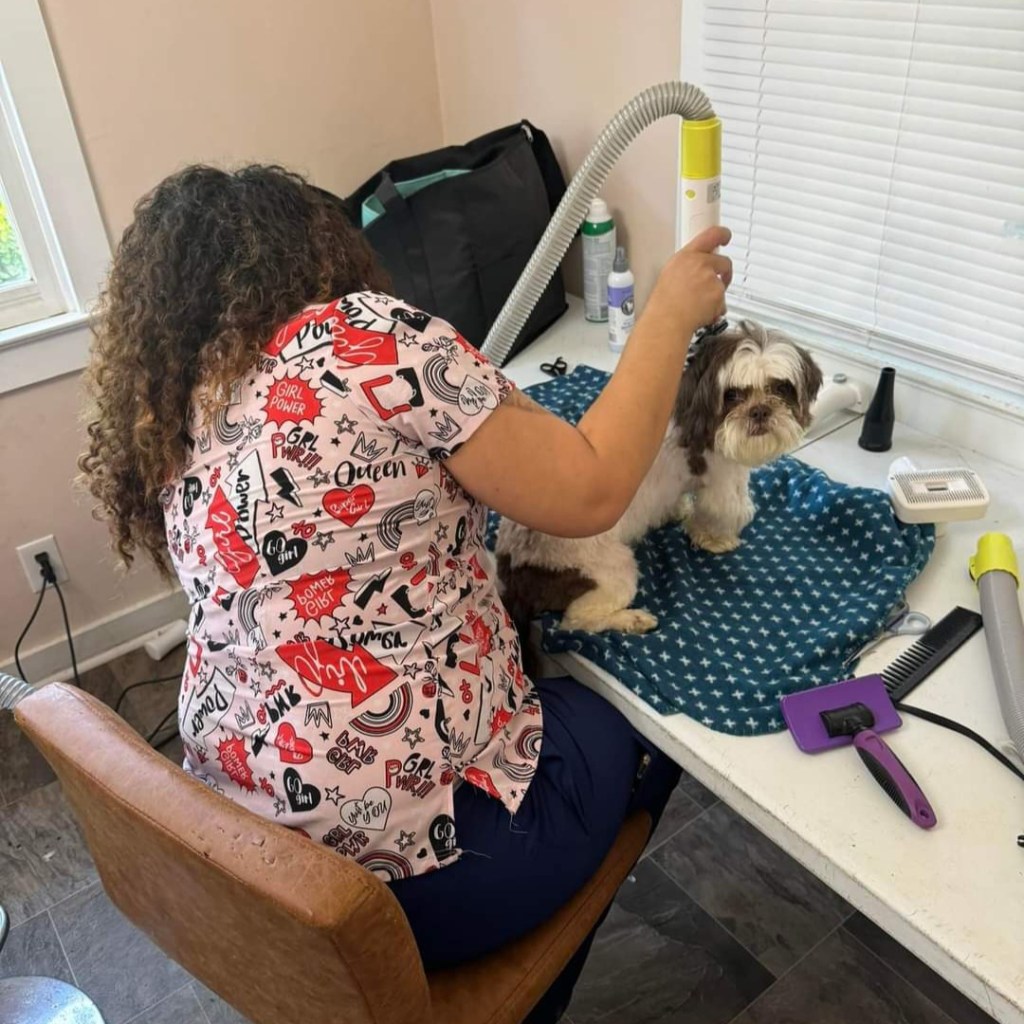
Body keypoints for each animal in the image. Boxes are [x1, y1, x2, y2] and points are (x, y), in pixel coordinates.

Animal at [495, 320, 823, 642]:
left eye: (781, 387)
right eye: (732, 395)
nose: (760, 411)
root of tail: (513, 566)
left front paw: (676, 512)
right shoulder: (722, 479)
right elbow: (724, 511)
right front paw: (715, 539)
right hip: (605, 567)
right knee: (576, 620)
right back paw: (630, 619)